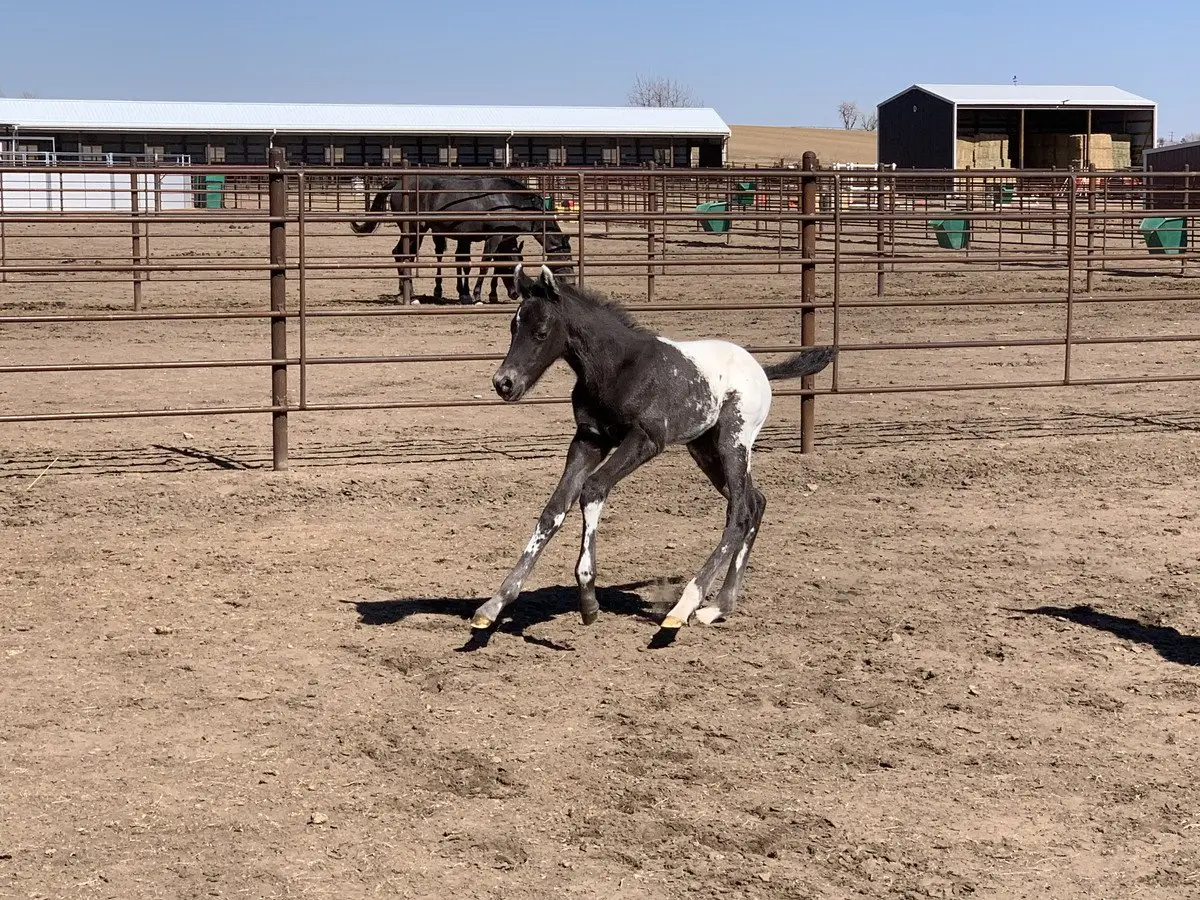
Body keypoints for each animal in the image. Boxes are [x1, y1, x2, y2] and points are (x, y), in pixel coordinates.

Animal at [350, 175, 573, 304]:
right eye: (565, 256)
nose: (570, 281)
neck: (507, 200)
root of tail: (398, 184)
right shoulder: (493, 237)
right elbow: (485, 265)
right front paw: (477, 296)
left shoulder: (501, 239)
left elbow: (492, 264)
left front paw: (489, 294)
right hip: (414, 231)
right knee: (401, 255)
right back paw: (410, 296)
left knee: (403, 256)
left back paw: (405, 294)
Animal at [470, 265, 836, 634]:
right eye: (513, 326)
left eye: (541, 332)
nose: (504, 383)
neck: (617, 368)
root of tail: (760, 369)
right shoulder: (589, 440)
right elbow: (554, 509)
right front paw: (493, 604)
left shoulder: (645, 440)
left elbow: (593, 489)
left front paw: (588, 598)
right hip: (705, 449)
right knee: (755, 502)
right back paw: (718, 607)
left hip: (734, 442)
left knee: (740, 512)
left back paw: (685, 606)